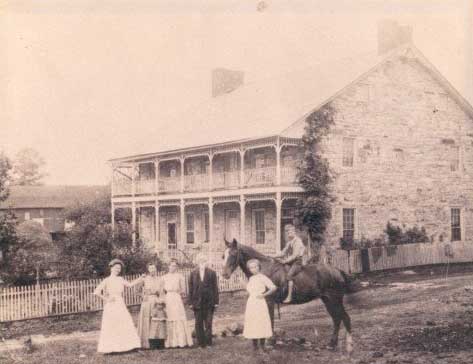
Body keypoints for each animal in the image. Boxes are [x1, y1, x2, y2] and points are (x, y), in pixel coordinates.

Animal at [221, 239, 354, 352]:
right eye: (223, 255)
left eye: (233, 254)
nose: (224, 274)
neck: (263, 269)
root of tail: (337, 271)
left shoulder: (269, 301)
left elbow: (270, 321)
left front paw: (270, 342)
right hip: (328, 300)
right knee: (337, 319)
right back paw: (332, 344)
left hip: (334, 300)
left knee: (344, 318)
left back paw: (348, 346)